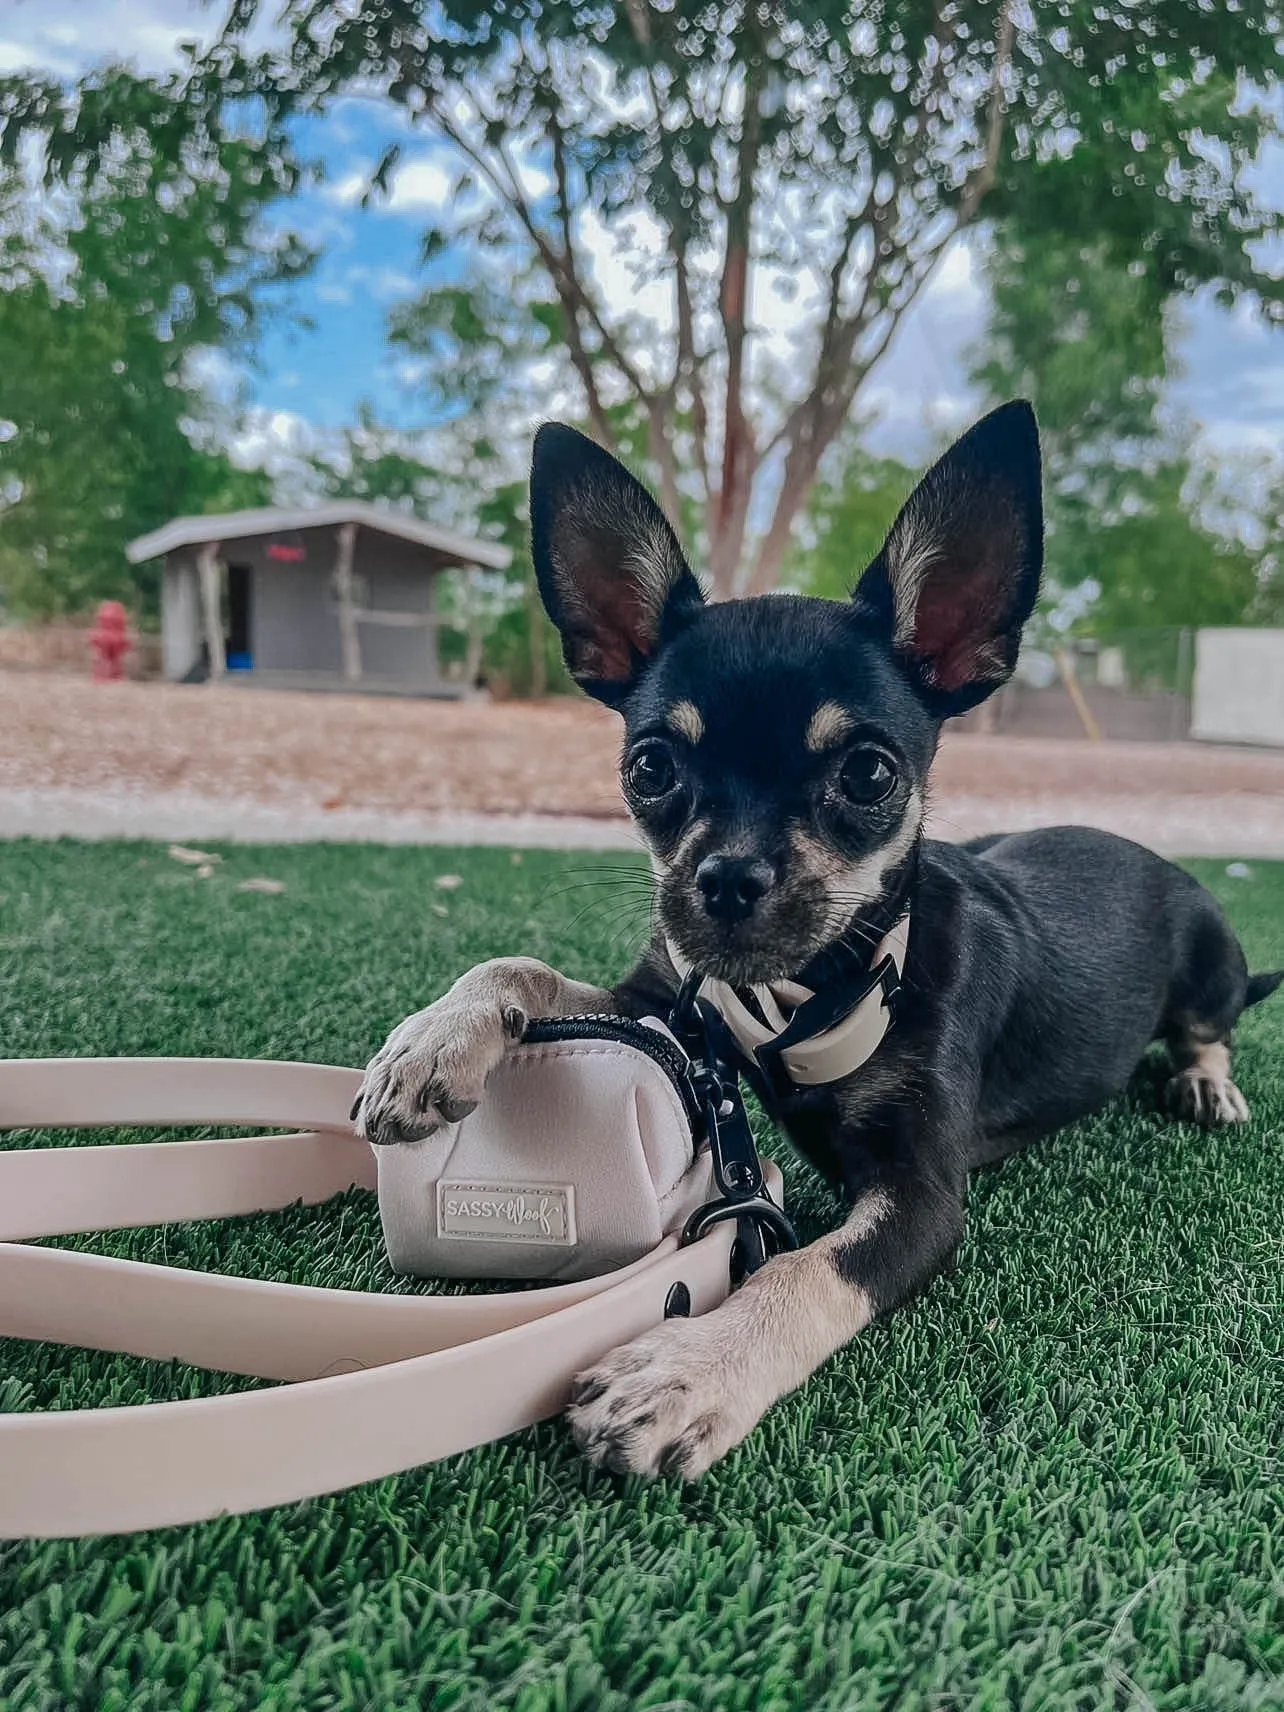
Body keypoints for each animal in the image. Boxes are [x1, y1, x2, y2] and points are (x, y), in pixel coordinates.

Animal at [354, 404, 1284, 1486]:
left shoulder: (922, 1197)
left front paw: (688, 1371)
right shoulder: (664, 1003)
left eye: (870, 773)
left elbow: (805, 1269)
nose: (722, 881)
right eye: (650, 766)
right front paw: (430, 1042)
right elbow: (522, 965)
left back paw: (1207, 1083)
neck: (809, 990)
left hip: (1211, 954)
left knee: (1212, 1026)